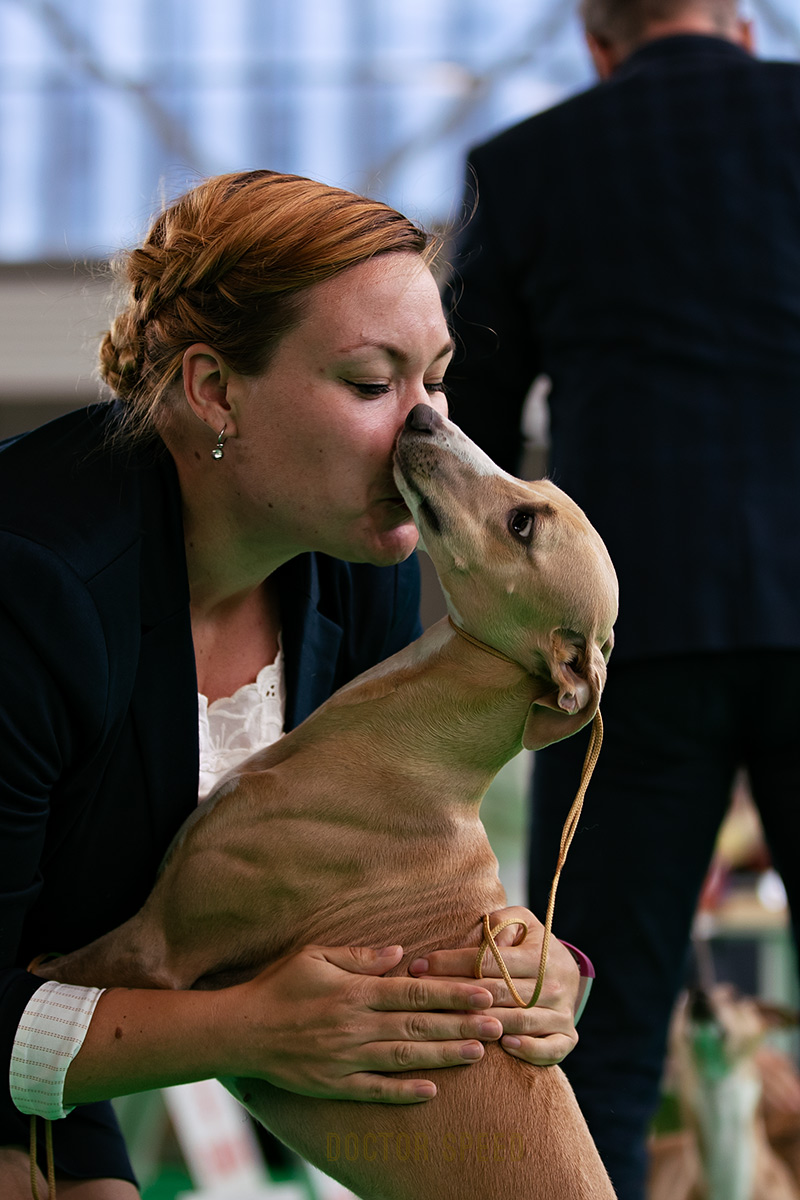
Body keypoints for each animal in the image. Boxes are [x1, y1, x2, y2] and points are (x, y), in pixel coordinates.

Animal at [38, 405, 618, 1200]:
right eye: (537, 493)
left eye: (522, 522)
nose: (423, 413)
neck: (402, 758)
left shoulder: (154, 948)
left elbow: (45, 970)